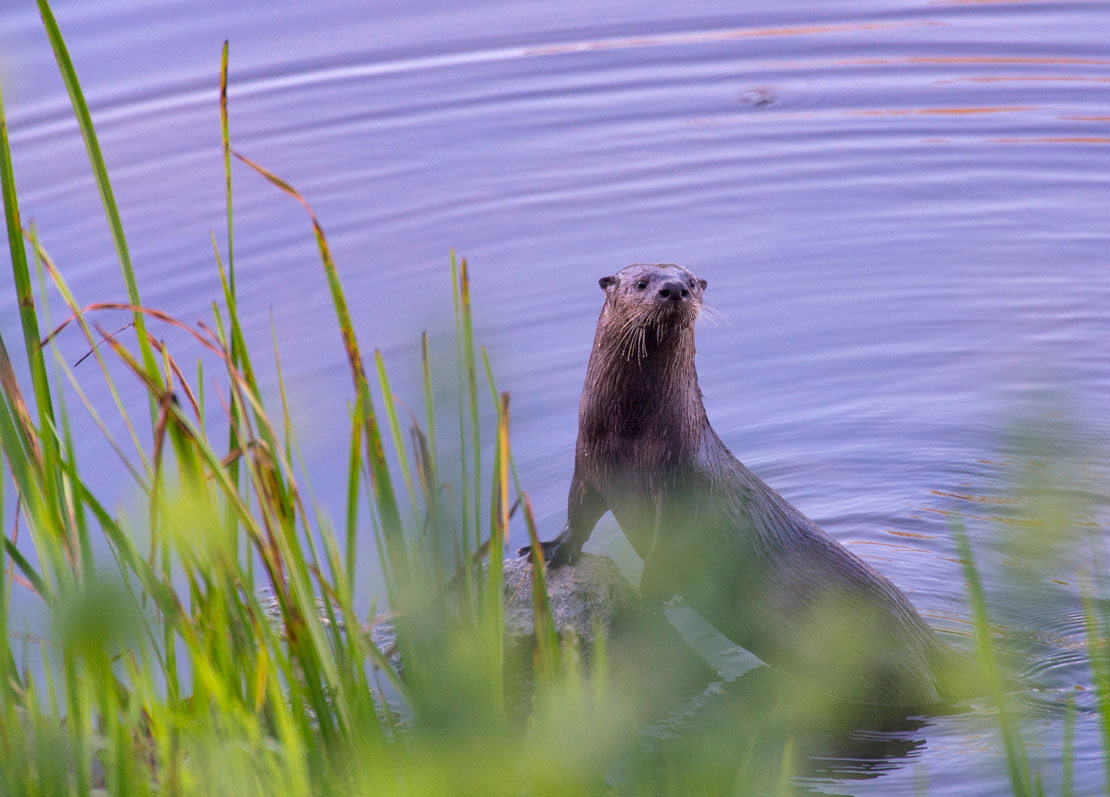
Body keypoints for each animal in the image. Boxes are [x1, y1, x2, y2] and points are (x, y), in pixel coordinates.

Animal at [521, 263, 959, 705]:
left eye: (691, 281)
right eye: (642, 282)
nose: (673, 289)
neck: (631, 438)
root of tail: (926, 636)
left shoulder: (680, 488)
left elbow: (666, 556)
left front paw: (643, 605)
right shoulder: (589, 461)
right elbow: (580, 513)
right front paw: (551, 549)